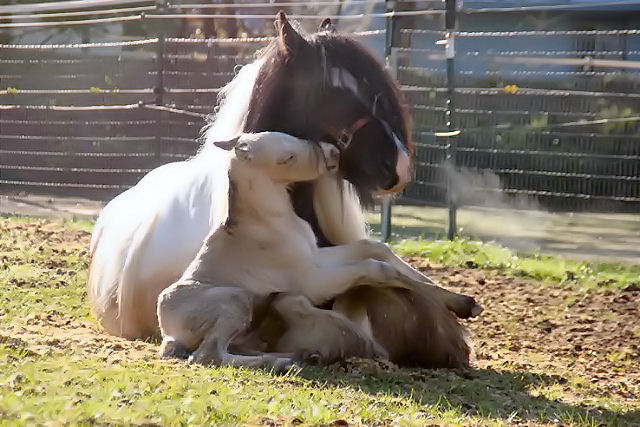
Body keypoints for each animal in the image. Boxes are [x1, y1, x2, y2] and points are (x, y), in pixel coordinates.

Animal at [158, 133, 472, 372]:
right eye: (287, 157)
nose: (333, 152)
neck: (270, 222)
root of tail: (168, 331)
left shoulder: (316, 256)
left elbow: (374, 248)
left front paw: (461, 302)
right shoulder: (311, 280)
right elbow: (374, 267)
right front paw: (464, 305)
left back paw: (300, 355)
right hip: (237, 300)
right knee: (207, 355)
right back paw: (285, 362)